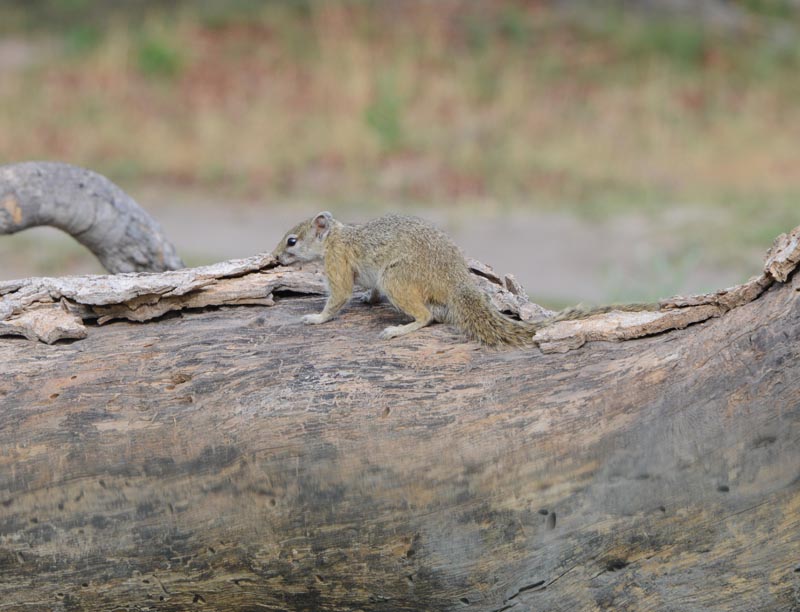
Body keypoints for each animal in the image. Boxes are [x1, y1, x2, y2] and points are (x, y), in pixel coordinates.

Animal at [272, 212, 660, 346]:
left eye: (292, 240)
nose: (276, 257)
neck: (337, 236)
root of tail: (455, 280)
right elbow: (365, 291)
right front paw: (368, 299)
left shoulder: (337, 262)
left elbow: (338, 296)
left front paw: (316, 317)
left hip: (397, 277)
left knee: (426, 316)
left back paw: (399, 329)